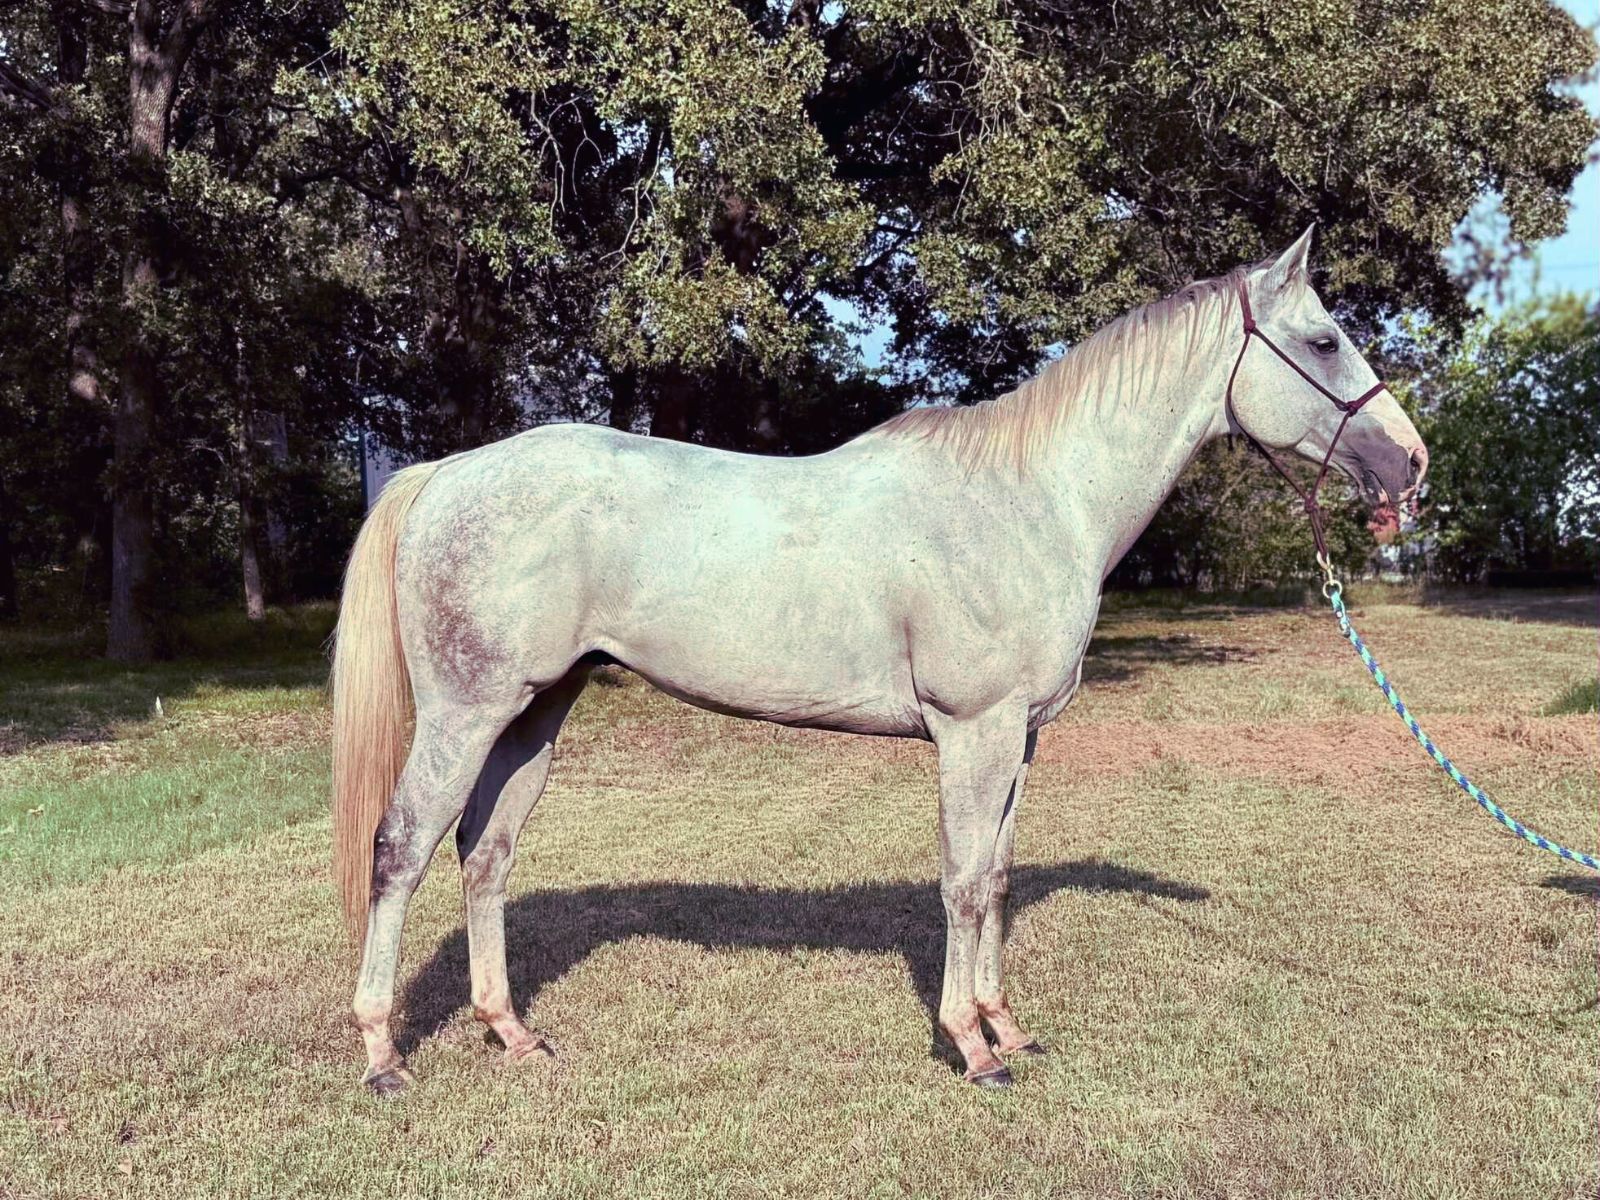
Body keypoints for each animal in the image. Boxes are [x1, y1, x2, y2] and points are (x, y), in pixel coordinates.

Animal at [331, 228, 1428, 1093]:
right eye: (1322, 340)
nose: (1411, 462)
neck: (1033, 498)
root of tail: (447, 474)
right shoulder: (973, 733)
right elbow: (961, 881)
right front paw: (970, 1048)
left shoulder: (1019, 741)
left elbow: (997, 878)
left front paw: (1008, 1028)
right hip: (466, 714)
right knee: (402, 848)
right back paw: (382, 1053)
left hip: (533, 714)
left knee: (485, 855)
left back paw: (509, 1031)